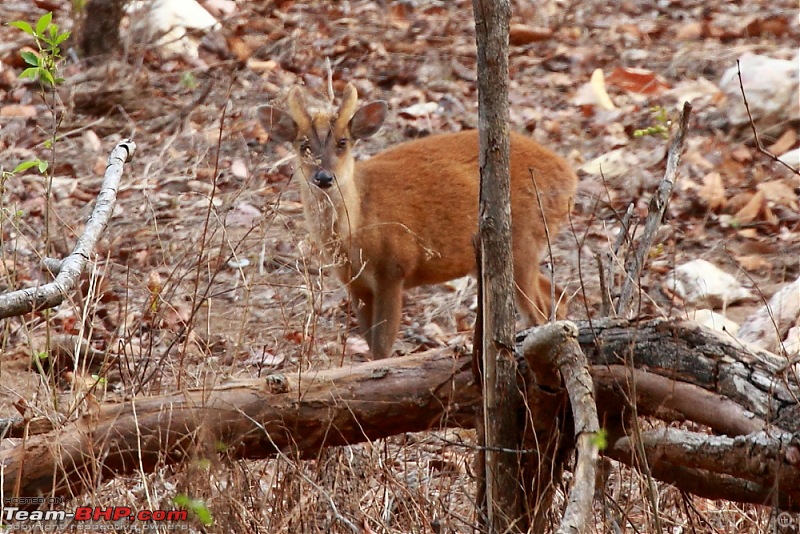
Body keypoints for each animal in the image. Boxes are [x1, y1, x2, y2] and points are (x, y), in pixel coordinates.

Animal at [260, 85, 580, 360]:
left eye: (343, 142)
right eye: (303, 145)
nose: (324, 178)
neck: (358, 230)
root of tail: (569, 177)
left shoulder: (393, 267)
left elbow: (382, 346)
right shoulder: (354, 282)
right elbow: (371, 342)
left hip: (523, 238)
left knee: (538, 311)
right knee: (557, 295)